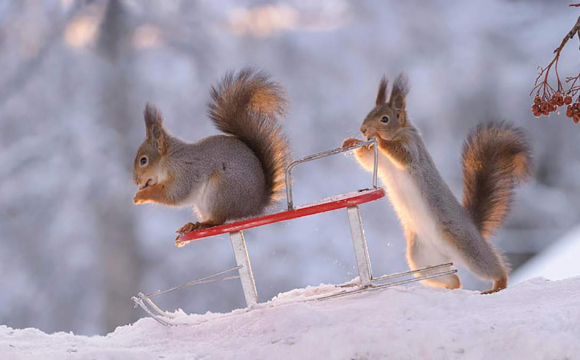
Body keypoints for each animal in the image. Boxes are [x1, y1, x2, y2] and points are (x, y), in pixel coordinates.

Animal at [134, 68, 292, 238]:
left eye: (143, 160)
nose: (136, 181)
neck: (169, 160)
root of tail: (255, 205)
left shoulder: (186, 171)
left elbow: (174, 193)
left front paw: (141, 196)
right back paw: (191, 225)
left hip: (220, 192)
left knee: (218, 221)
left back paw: (200, 224)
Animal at [342, 74, 532, 294]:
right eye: (368, 114)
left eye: (384, 119)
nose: (363, 129)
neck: (400, 132)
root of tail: (474, 227)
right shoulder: (380, 162)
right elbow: (366, 160)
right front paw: (350, 142)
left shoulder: (413, 149)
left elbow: (402, 155)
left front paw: (379, 139)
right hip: (423, 259)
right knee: (453, 279)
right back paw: (449, 288)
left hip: (467, 247)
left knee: (493, 267)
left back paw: (497, 284)